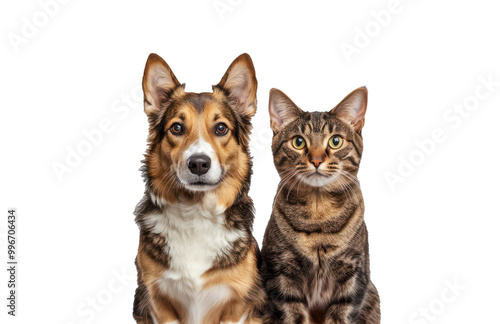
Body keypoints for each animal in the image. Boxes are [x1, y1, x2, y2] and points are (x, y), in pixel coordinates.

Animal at [133, 52, 266, 322]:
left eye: (221, 128)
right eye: (176, 128)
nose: (198, 164)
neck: (195, 212)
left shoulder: (238, 303)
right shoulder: (158, 300)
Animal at [260, 87, 380, 322]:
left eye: (335, 141)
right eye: (298, 142)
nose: (316, 160)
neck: (319, 212)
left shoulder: (353, 276)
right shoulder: (281, 275)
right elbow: (294, 315)